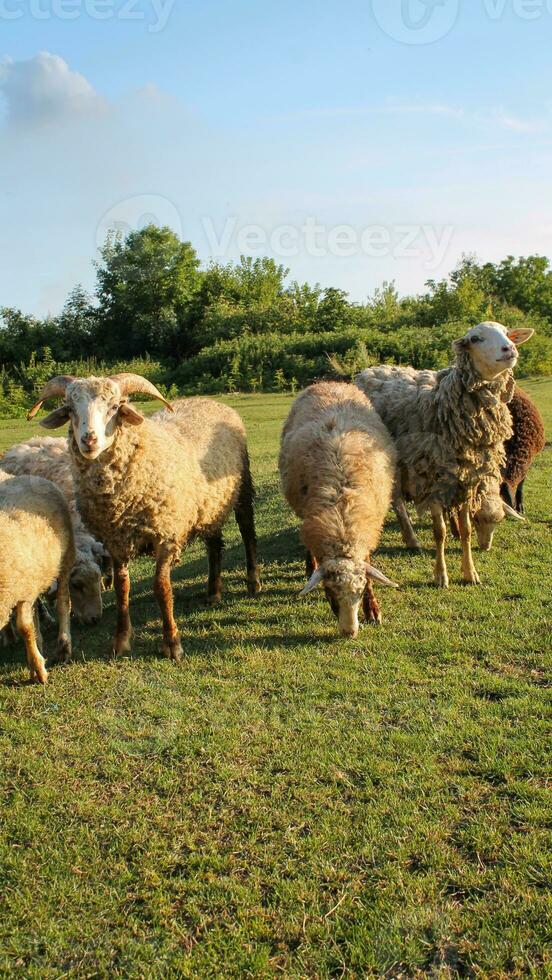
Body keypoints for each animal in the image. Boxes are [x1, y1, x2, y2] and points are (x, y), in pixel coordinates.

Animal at [0, 472, 74, 684]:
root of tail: (27, 476)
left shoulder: (23, 592)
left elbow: (24, 627)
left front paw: (38, 668)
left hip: (64, 560)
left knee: (63, 602)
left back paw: (64, 646)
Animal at [29, 374, 262, 660]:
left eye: (114, 407)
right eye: (71, 409)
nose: (89, 440)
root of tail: (211, 401)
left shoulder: (166, 534)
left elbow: (162, 587)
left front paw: (172, 643)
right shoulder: (115, 541)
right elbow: (122, 588)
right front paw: (121, 641)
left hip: (241, 489)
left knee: (247, 532)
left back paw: (253, 582)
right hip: (209, 506)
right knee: (214, 545)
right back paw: (213, 592)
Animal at [280, 378, 396, 640]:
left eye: (360, 593)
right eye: (329, 591)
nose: (349, 632)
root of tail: (329, 381)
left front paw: (373, 610)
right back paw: (310, 565)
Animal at [356, 322, 532, 584]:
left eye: (507, 333)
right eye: (475, 339)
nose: (509, 348)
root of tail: (369, 370)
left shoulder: (467, 479)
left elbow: (466, 530)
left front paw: (470, 573)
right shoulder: (434, 478)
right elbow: (439, 532)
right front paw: (440, 575)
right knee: (396, 500)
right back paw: (412, 539)